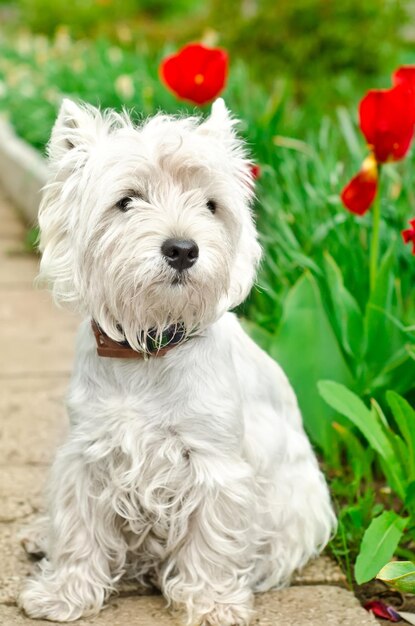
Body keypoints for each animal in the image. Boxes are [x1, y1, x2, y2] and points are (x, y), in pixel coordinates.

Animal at [19, 97, 336, 624]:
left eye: (210, 205)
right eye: (126, 200)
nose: (183, 249)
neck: (147, 347)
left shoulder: (214, 463)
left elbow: (210, 537)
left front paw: (211, 602)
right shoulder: (87, 452)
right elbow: (78, 526)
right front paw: (64, 592)